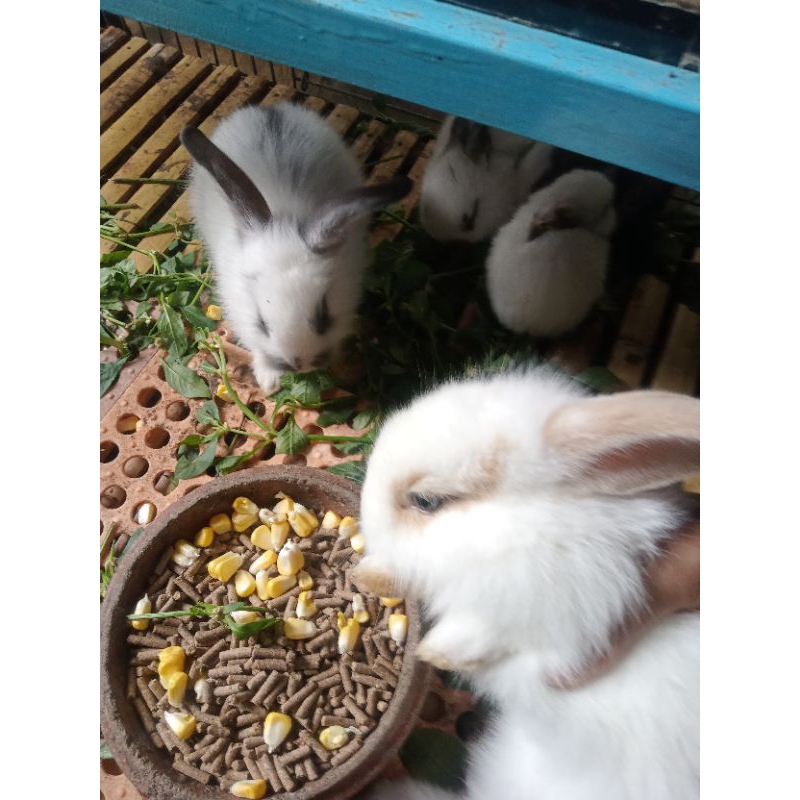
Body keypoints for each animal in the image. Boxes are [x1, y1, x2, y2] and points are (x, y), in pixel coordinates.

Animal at [353, 367, 700, 800]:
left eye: (426, 501)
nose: (364, 517)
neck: (521, 525)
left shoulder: (563, 609)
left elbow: (487, 634)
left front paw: (437, 653)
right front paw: (366, 573)